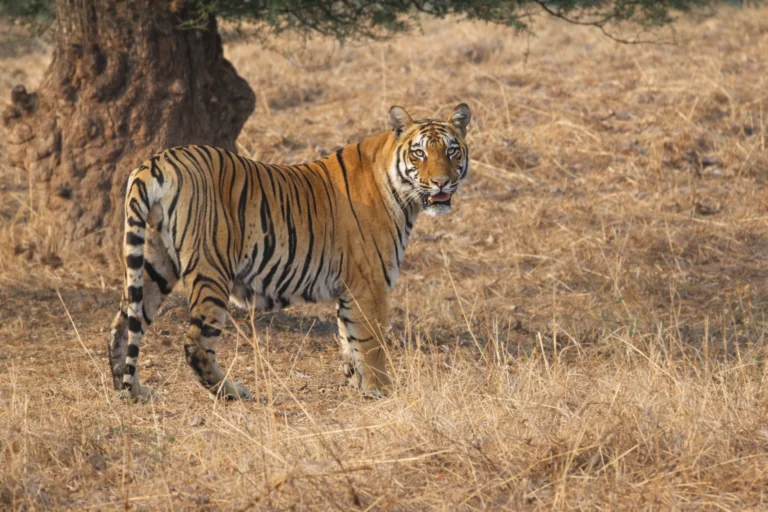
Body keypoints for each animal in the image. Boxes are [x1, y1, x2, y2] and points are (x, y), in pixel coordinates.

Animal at [107, 103, 471, 401]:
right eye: (419, 153)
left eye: (452, 151)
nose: (441, 183)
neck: (400, 191)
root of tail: (156, 162)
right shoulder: (370, 285)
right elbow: (372, 345)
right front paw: (382, 391)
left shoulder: (350, 291)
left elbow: (350, 341)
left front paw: (359, 387)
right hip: (211, 269)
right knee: (195, 342)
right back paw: (231, 391)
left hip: (156, 263)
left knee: (125, 321)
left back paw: (132, 390)